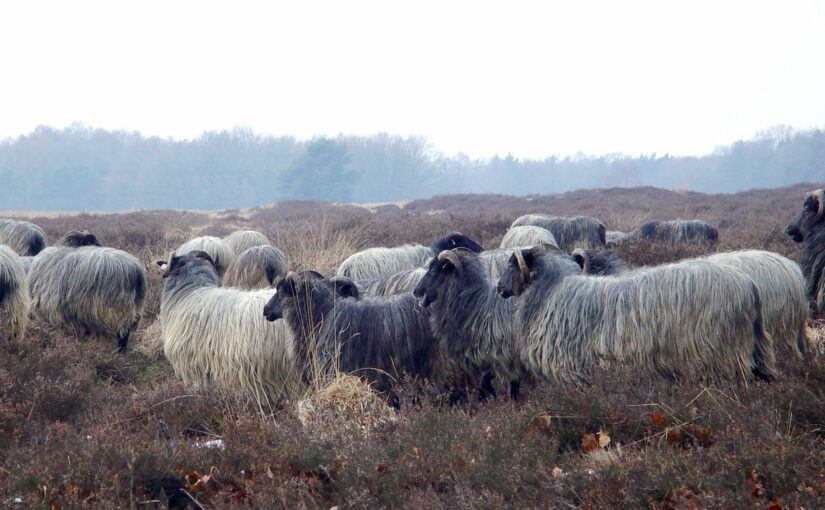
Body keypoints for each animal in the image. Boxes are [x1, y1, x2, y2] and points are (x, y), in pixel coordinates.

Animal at [496, 245, 772, 384]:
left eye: (511, 265)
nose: (498, 288)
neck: (551, 290)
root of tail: (750, 286)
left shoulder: (573, 373)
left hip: (723, 355)